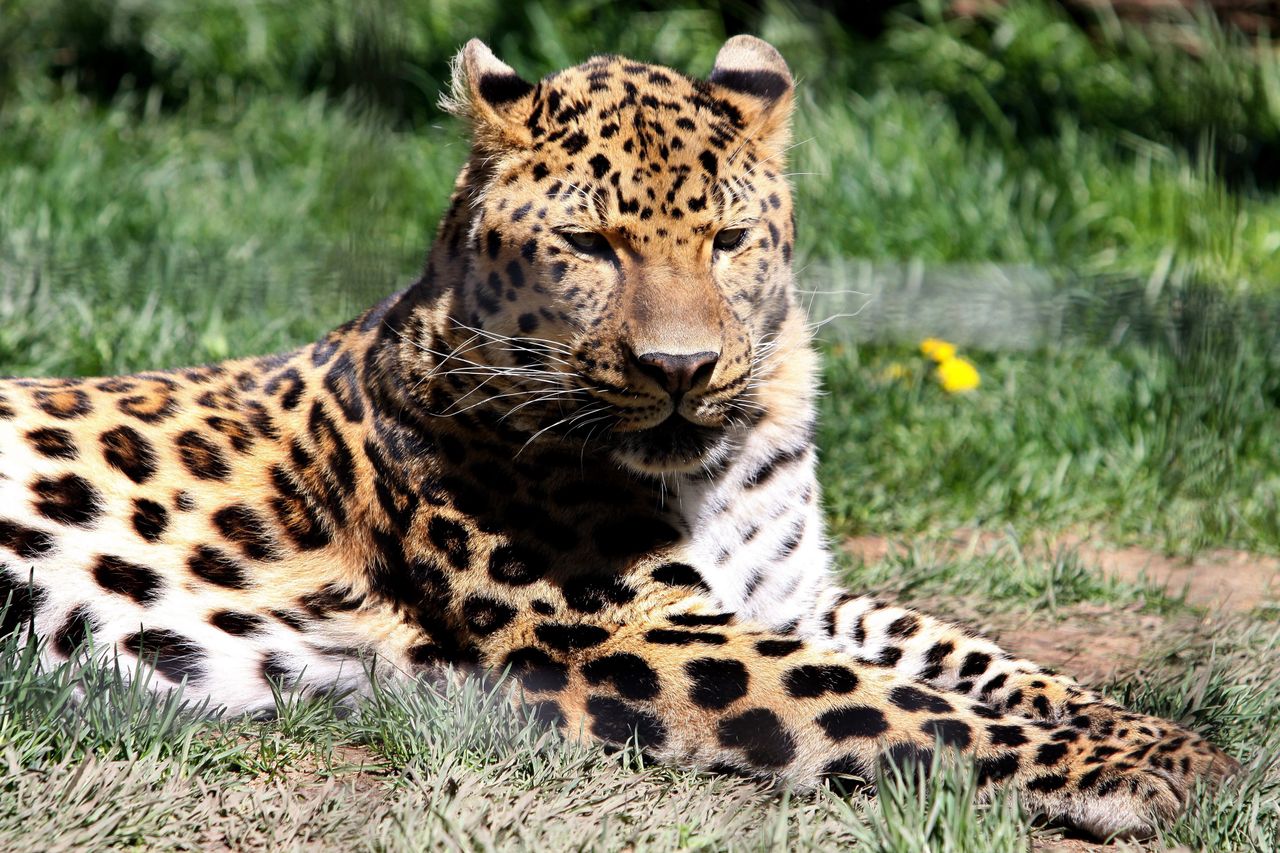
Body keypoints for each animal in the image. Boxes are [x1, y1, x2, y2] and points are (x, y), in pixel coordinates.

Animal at [0, 34, 1239, 835]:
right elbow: (898, 700)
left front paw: (1147, 726)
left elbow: (974, 655)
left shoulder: (793, 589)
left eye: (729, 238)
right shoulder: (624, 631)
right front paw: (1146, 763)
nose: (679, 370)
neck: (723, 465)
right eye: (590, 245)